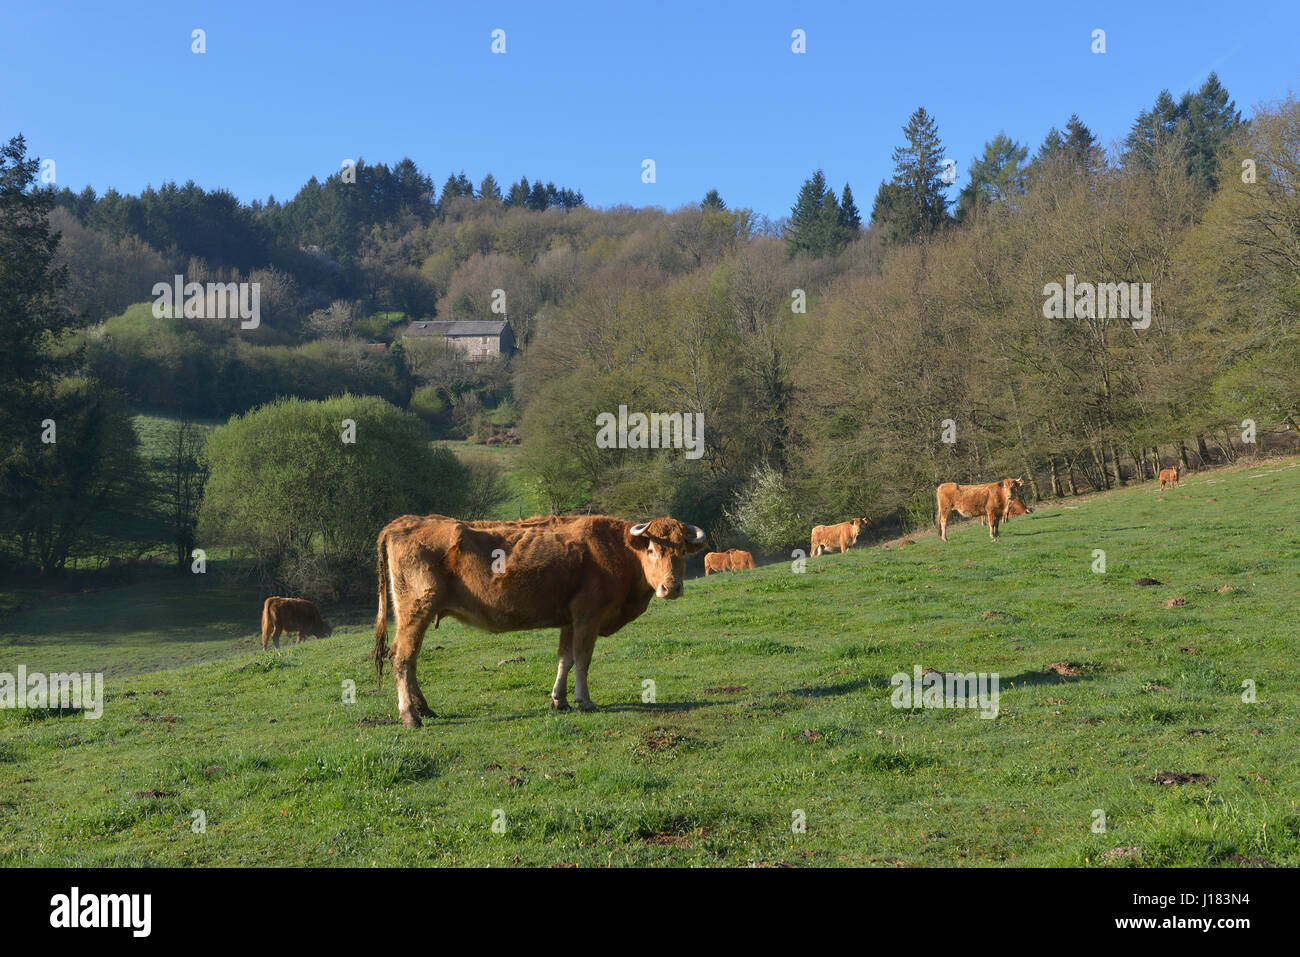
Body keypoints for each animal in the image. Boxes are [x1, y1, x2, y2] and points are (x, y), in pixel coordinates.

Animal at [371, 514, 707, 722]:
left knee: (410, 659)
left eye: (682, 551)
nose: (671, 587)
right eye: (651, 550)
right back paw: (410, 715)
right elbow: (583, 659)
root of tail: (404, 522)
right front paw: (585, 700)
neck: (616, 549)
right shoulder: (588, 616)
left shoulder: (569, 620)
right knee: (401, 657)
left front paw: (560, 699)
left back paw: (424, 709)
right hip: (416, 610)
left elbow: (565, 659)